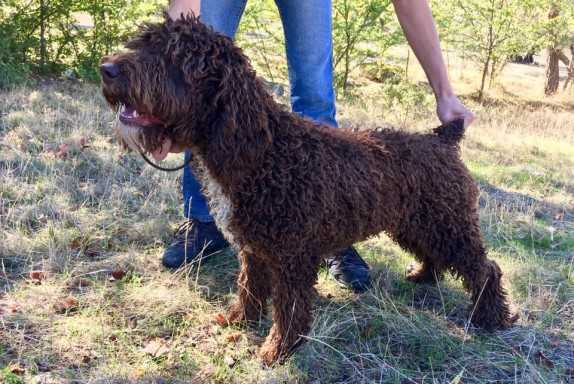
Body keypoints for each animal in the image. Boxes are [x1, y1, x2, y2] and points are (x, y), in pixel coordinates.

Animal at [101, 14, 516, 364]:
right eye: (142, 43)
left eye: (174, 58)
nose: (107, 69)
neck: (262, 150)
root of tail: (443, 137)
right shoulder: (254, 250)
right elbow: (249, 290)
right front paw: (238, 321)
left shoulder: (293, 258)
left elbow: (290, 309)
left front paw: (277, 350)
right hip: (417, 223)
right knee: (436, 255)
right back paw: (423, 276)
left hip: (449, 223)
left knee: (486, 268)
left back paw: (490, 317)